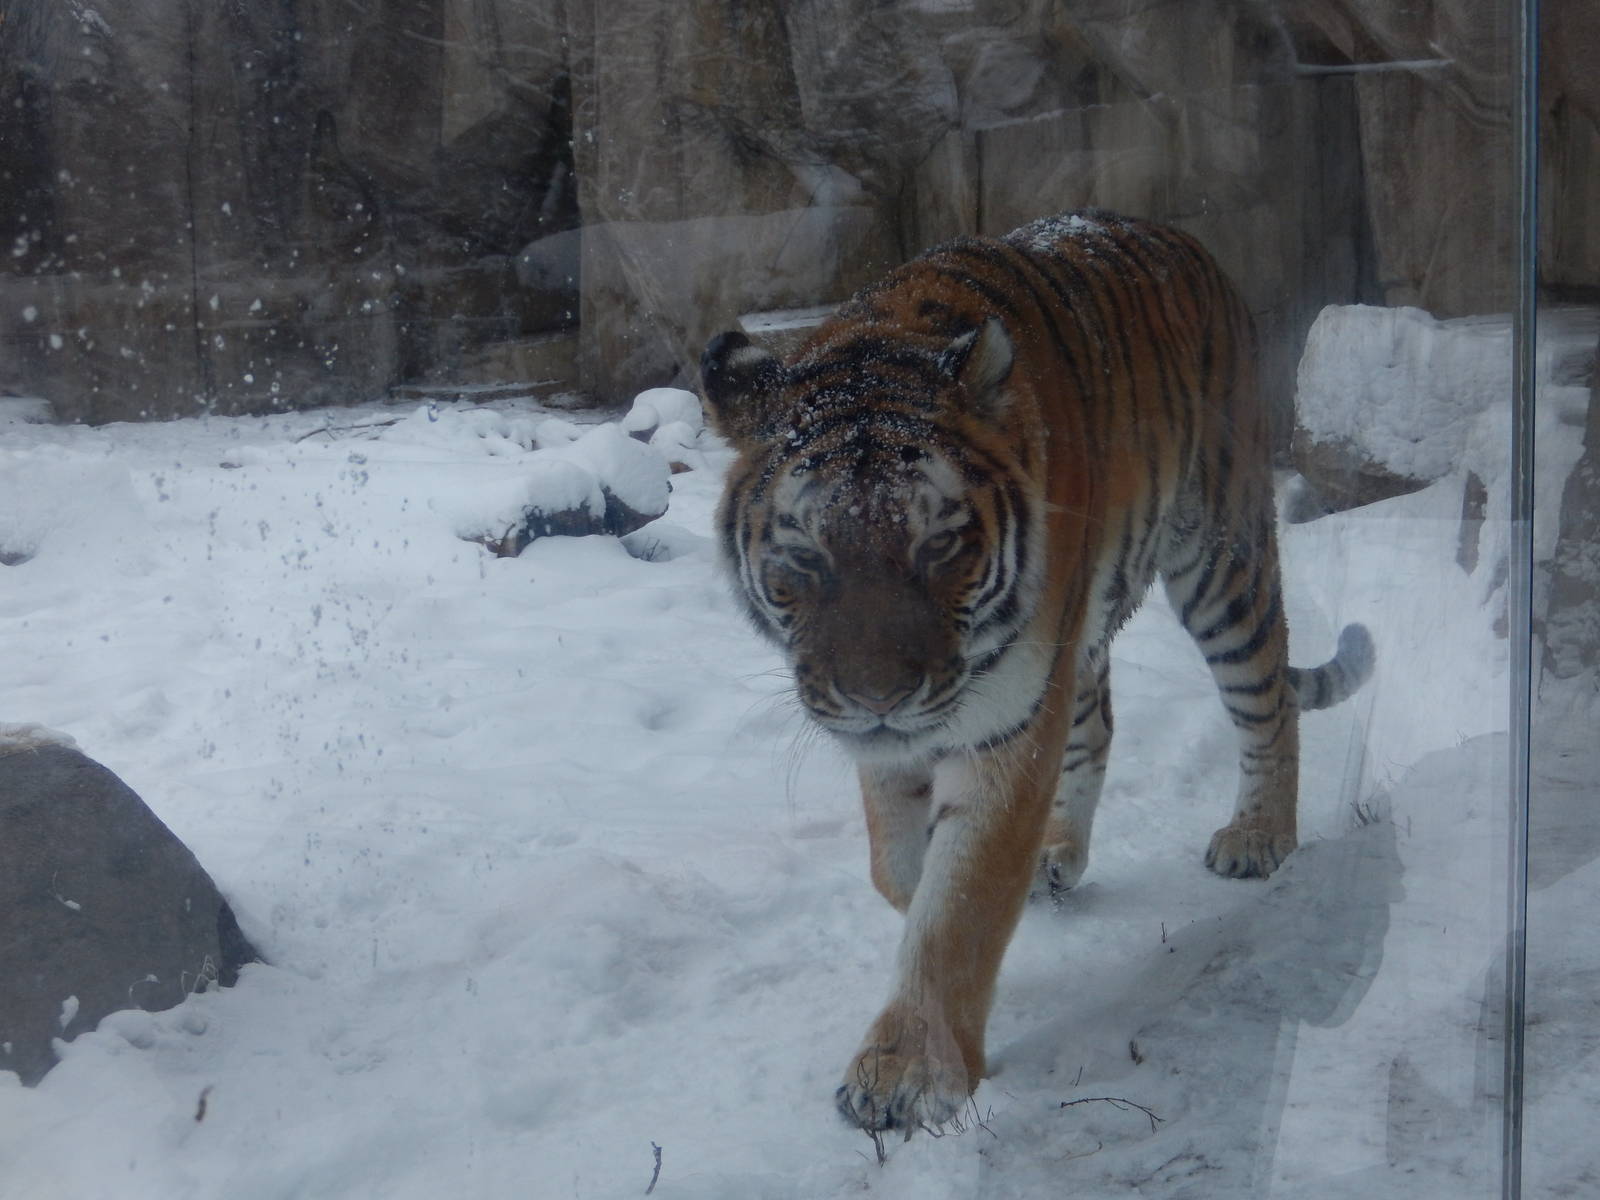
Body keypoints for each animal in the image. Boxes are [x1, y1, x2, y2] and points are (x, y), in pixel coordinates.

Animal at [697, 210, 1375, 1138]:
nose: (879, 698)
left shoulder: (1006, 724)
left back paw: (1259, 836)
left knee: (1269, 699)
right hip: (1082, 635)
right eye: (805, 557)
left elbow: (961, 900)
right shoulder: (906, 739)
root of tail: (1185, 242)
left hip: (1219, 559)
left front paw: (909, 1068)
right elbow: (900, 869)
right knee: (1100, 723)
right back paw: (1060, 849)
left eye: (940, 545)